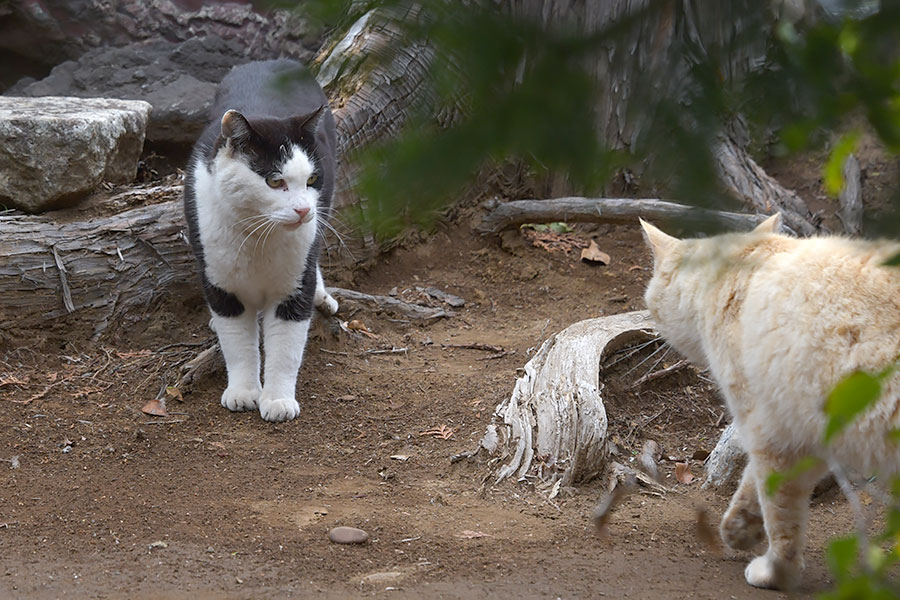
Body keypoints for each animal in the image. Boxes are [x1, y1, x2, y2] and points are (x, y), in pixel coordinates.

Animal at [183, 57, 338, 422]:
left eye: (312, 179)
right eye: (274, 181)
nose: (303, 209)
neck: (258, 235)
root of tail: (271, 60)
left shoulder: (293, 285)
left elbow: (286, 348)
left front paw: (278, 399)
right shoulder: (220, 282)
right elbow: (238, 345)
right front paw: (242, 391)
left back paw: (322, 295)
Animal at [640, 216, 900, 592]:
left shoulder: (771, 431)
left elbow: (779, 513)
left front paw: (776, 572)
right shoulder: (801, 431)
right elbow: (752, 486)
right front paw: (738, 529)